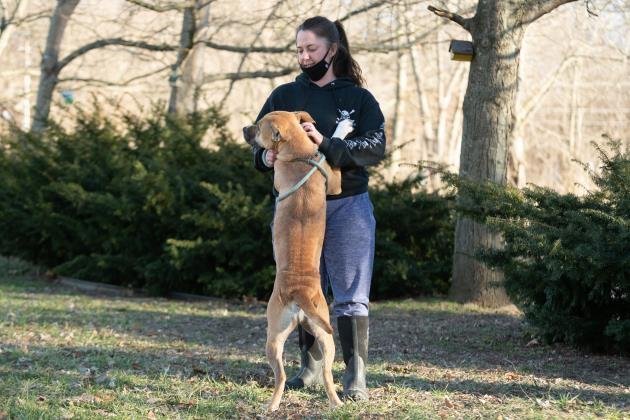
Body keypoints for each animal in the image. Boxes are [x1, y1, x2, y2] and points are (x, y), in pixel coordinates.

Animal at [244, 110, 344, 410]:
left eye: (259, 127)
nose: (244, 129)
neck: (299, 153)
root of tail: (299, 293)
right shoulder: (334, 180)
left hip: (273, 336)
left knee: (281, 377)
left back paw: (272, 405)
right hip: (326, 335)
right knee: (326, 373)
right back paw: (337, 402)